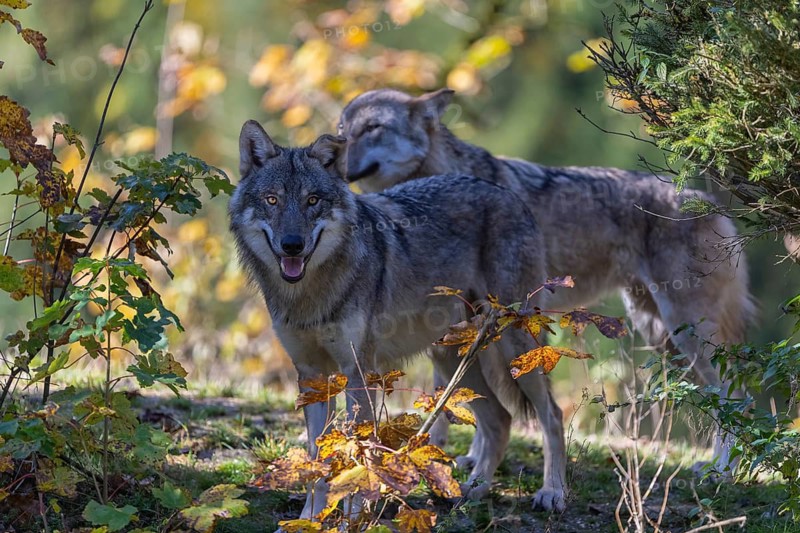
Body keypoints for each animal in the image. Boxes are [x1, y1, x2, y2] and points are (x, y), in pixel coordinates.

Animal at [228, 120, 568, 520]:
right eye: (272, 200)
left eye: (313, 200)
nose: (292, 245)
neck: (309, 293)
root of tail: (509, 195)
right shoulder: (311, 376)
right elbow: (317, 456)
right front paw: (310, 519)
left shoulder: (358, 372)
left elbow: (357, 449)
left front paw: (353, 516)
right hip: (453, 360)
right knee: (500, 419)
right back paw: (472, 492)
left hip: (517, 350)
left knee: (552, 414)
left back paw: (552, 493)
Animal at [337, 88, 757, 472]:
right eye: (343, 130)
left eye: (372, 128)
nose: (335, 163)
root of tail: (712, 205)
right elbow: (456, 397)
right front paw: (464, 458)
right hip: (660, 334)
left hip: (683, 333)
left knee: (736, 394)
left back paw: (723, 469)